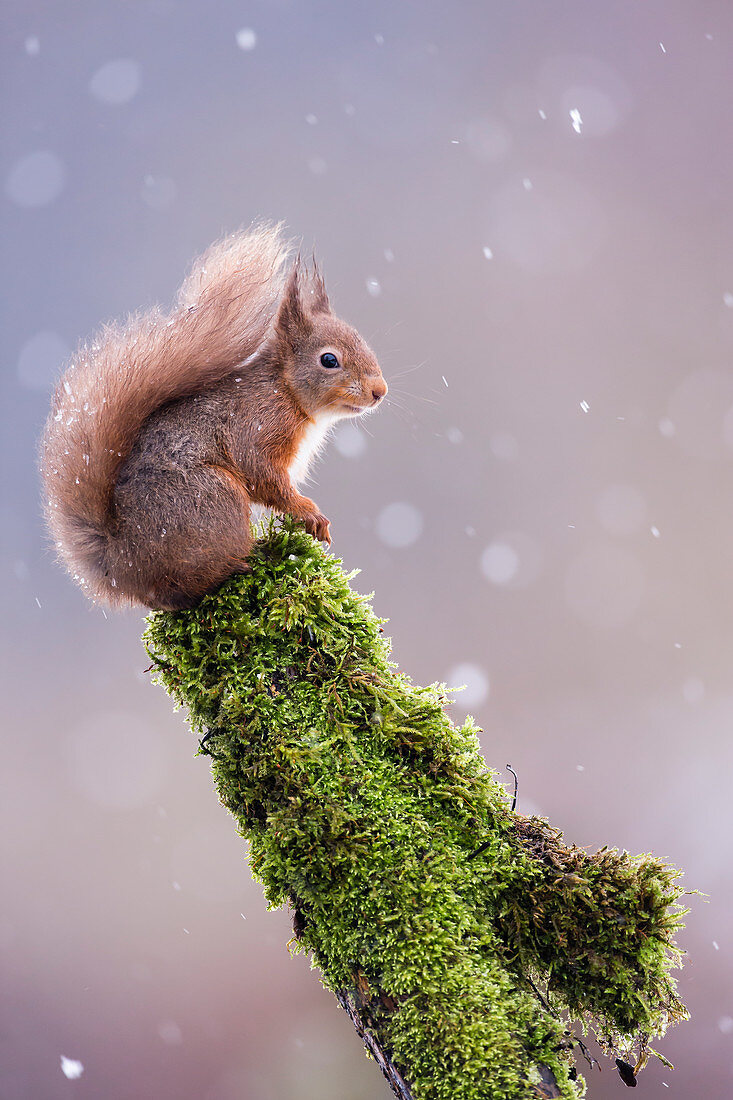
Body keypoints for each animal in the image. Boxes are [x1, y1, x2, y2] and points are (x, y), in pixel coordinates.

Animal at [40, 225, 385, 611]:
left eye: (361, 340)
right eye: (329, 360)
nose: (380, 390)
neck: (284, 391)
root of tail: (124, 567)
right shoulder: (255, 426)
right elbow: (264, 476)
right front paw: (309, 512)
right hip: (213, 497)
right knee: (192, 584)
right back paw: (247, 560)